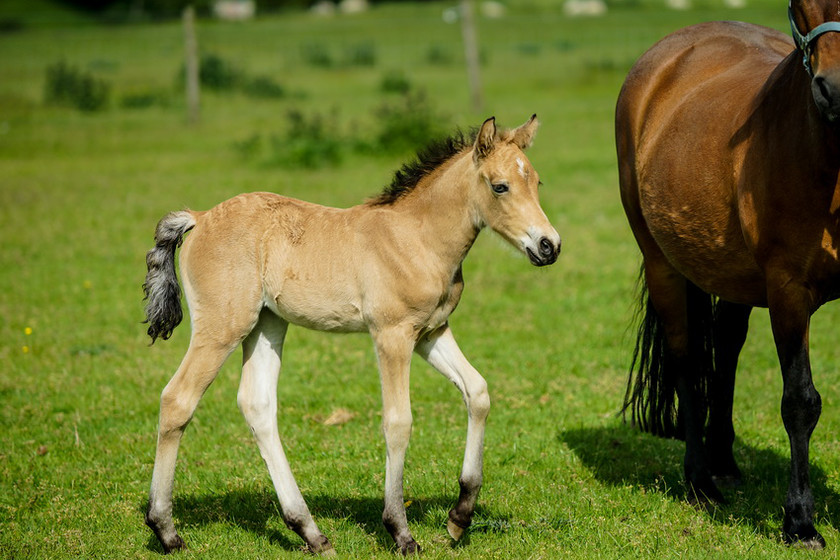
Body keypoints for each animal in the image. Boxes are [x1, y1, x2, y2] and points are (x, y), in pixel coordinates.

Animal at [142, 115, 560, 556]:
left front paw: (459, 517)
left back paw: (310, 532)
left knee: (257, 405)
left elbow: (478, 393)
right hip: (222, 327)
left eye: (536, 182)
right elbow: (398, 422)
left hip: (266, 324)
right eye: (500, 186)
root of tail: (200, 217)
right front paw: (400, 532)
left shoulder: (430, 333)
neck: (417, 238)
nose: (549, 246)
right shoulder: (392, 335)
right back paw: (165, 530)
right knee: (177, 400)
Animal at [612, 0, 840, 548]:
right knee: (688, 358)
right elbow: (800, 401)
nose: (835, 89)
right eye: (801, 6)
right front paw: (800, 521)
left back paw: (723, 459)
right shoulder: (788, 293)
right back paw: (700, 479)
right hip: (663, 265)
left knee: (727, 348)